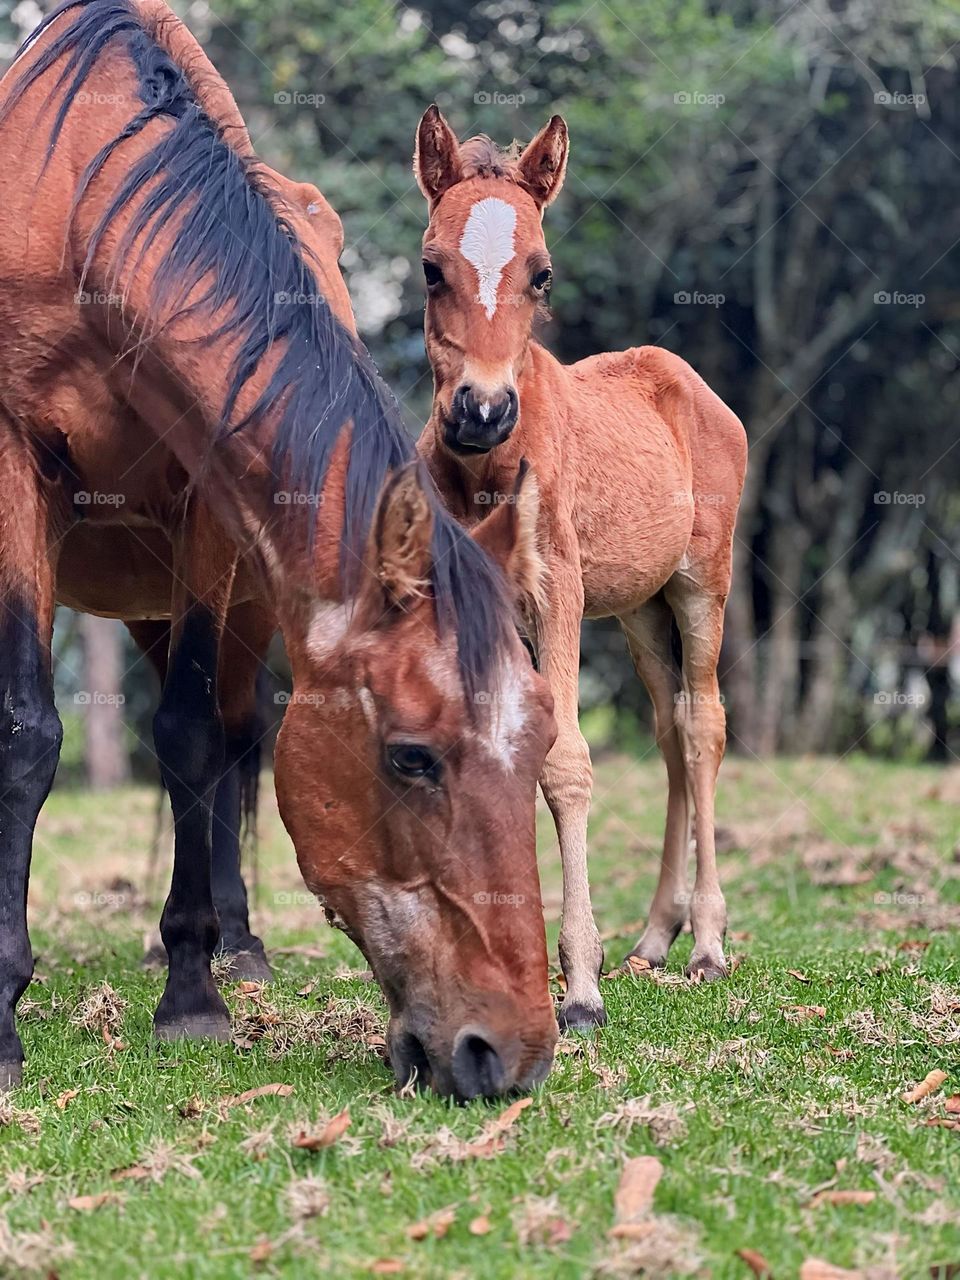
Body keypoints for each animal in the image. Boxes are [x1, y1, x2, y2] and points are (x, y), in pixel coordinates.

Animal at [417, 107, 747, 1029]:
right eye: (430, 267)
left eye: (542, 273)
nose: (482, 411)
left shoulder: (554, 591)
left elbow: (563, 760)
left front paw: (581, 986)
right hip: (637, 607)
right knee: (669, 726)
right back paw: (654, 937)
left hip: (701, 583)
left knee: (703, 725)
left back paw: (706, 944)